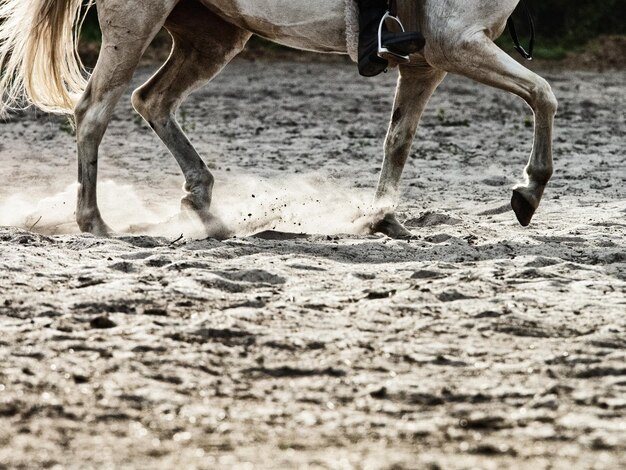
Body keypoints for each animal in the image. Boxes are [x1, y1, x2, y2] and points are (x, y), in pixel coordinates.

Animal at [0, 0, 556, 239]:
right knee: (94, 110)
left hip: (213, 37)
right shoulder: (457, 45)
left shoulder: (427, 63)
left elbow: (398, 138)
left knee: (151, 100)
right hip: (136, 23)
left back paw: (206, 208)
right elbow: (544, 95)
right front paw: (527, 193)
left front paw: (383, 218)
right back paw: (94, 221)